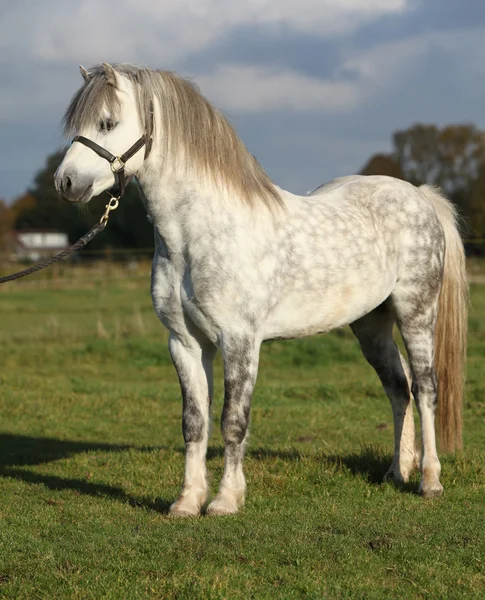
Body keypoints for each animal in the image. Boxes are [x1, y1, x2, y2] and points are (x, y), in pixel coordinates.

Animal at [54, 64, 466, 516]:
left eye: (107, 122)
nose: (65, 182)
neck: (197, 235)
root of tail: (420, 196)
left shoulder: (240, 341)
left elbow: (233, 421)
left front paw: (225, 500)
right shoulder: (185, 343)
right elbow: (194, 423)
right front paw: (187, 501)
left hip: (417, 314)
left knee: (425, 388)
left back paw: (429, 480)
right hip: (370, 325)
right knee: (398, 388)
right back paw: (397, 472)